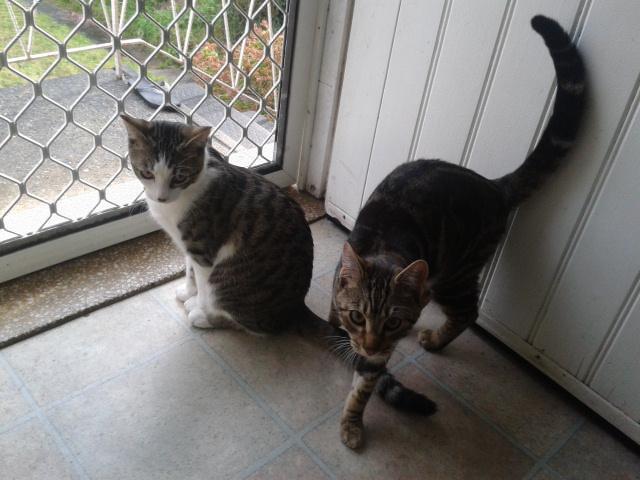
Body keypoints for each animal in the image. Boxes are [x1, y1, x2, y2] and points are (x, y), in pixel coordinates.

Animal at [121, 114, 437, 418]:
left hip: (228, 280)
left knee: (255, 326)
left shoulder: (204, 250)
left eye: (179, 176)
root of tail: (295, 306)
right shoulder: (188, 245)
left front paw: (198, 304)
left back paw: (206, 318)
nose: (160, 197)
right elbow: (188, 270)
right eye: (146, 173)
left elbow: (202, 283)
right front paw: (187, 292)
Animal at [329, 15, 586, 449]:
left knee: (469, 311)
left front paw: (351, 421)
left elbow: (365, 385)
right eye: (358, 315)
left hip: (456, 275)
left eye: (393, 323)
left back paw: (436, 338)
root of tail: (494, 186)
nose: (372, 343)